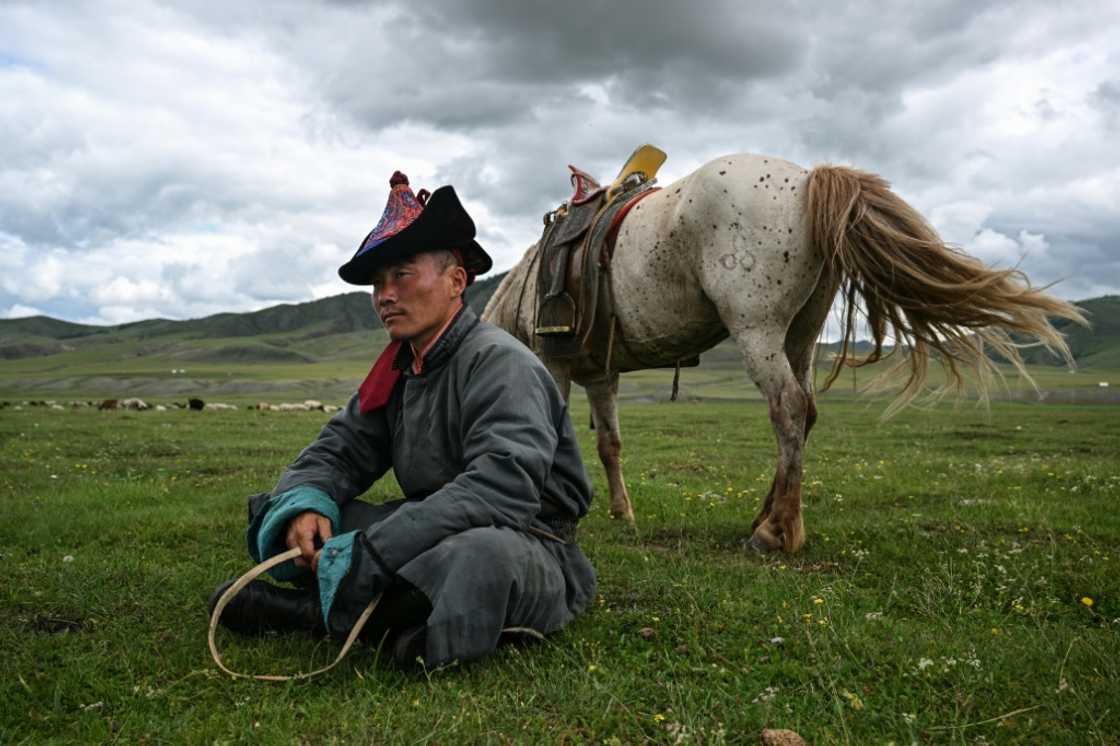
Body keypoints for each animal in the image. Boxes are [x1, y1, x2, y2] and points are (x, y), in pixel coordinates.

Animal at [481, 153, 1084, 551]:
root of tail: (809, 179)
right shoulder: (602, 376)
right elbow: (610, 445)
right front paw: (622, 512)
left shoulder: (554, 365)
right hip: (800, 332)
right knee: (806, 410)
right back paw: (766, 517)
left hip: (757, 329)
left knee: (788, 408)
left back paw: (775, 532)